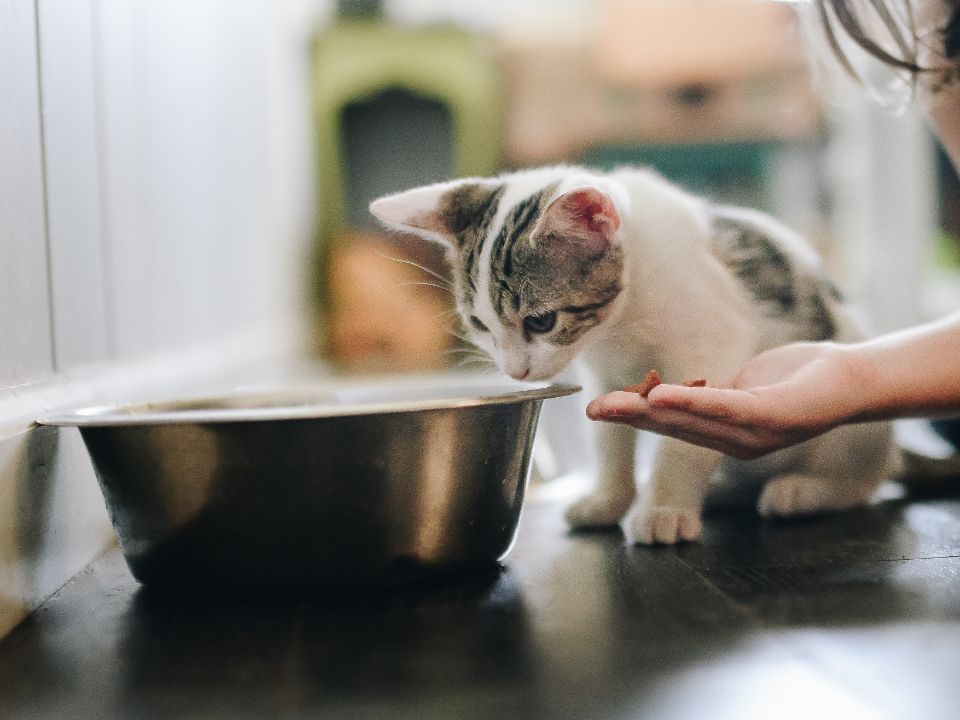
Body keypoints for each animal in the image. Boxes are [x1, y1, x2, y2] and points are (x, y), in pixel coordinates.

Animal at [370, 165, 900, 544]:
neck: (623, 320)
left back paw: (810, 490)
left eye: (541, 322)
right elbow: (609, 440)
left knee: (862, 480)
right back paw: (727, 489)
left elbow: (683, 443)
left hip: (852, 422)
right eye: (481, 325)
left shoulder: (714, 338)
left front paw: (664, 507)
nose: (517, 372)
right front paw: (609, 500)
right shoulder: (607, 372)